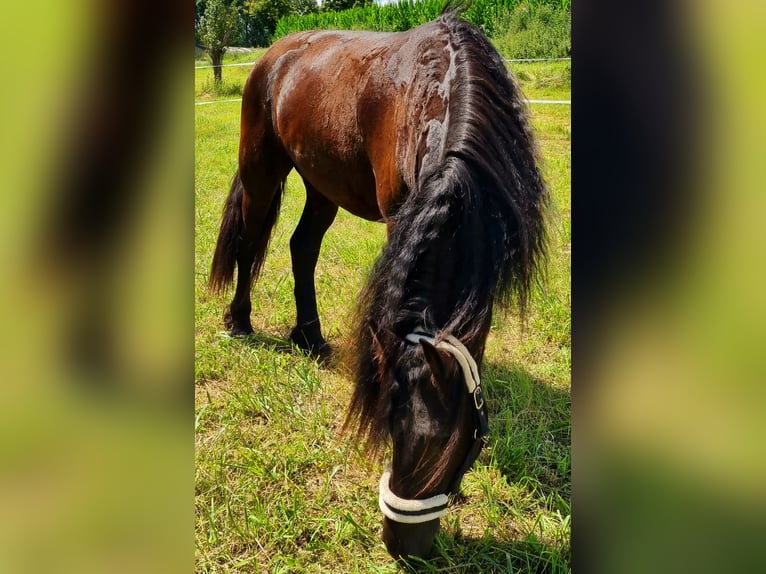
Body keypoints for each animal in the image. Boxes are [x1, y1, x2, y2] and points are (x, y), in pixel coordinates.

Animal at [207, 5, 548, 564]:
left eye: (447, 446)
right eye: (390, 432)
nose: (401, 546)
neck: (443, 90)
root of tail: (276, 54)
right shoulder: (399, 217)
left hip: (321, 182)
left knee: (302, 247)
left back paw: (310, 336)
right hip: (261, 169)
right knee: (250, 238)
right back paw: (238, 321)